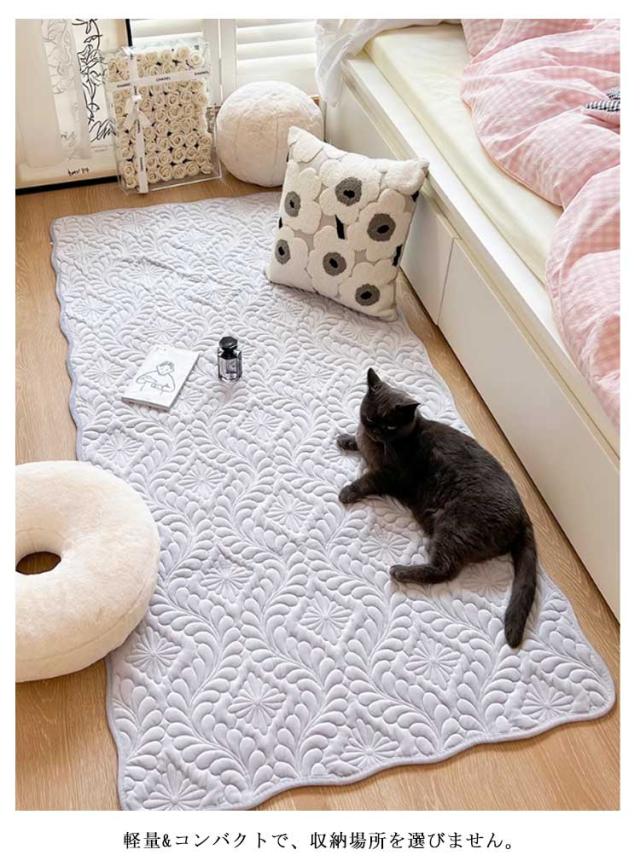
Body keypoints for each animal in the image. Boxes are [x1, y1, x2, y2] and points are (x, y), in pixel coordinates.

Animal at [337, 368, 537, 647]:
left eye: (390, 426)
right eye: (369, 417)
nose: (375, 430)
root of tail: (524, 515)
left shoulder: (388, 475)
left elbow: (365, 481)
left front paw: (347, 491)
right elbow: (356, 438)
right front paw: (346, 438)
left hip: (452, 526)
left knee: (445, 570)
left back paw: (401, 571)